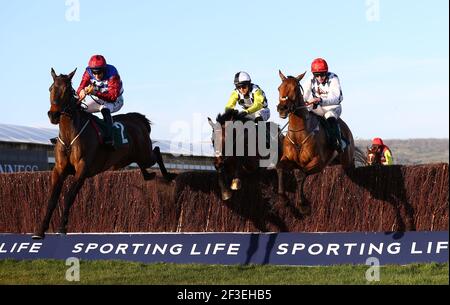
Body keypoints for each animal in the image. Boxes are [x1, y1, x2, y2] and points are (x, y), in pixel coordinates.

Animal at [31, 68, 172, 238]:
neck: (70, 134)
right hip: (131, 157)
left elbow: (69, 196)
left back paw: (168, 176)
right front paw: (40, 230)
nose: (53, 115)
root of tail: (138, 119)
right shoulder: (58, 170)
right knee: (143, 164)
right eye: (51, 88)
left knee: (156, 152)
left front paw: (62, 227)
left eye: (66, 90)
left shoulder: (82, 169)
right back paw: (149, 175)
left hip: (144, 154)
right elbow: (51, 199)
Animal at [276, 70, 356, 214]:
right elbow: (280, 168)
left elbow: (301, 174)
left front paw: (303, 204)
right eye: (279, 88)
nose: (282, 108)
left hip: (347, 159)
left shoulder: (318, 162)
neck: (299, 134)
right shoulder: (288, 159)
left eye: (295, 88)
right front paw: (283, 199)